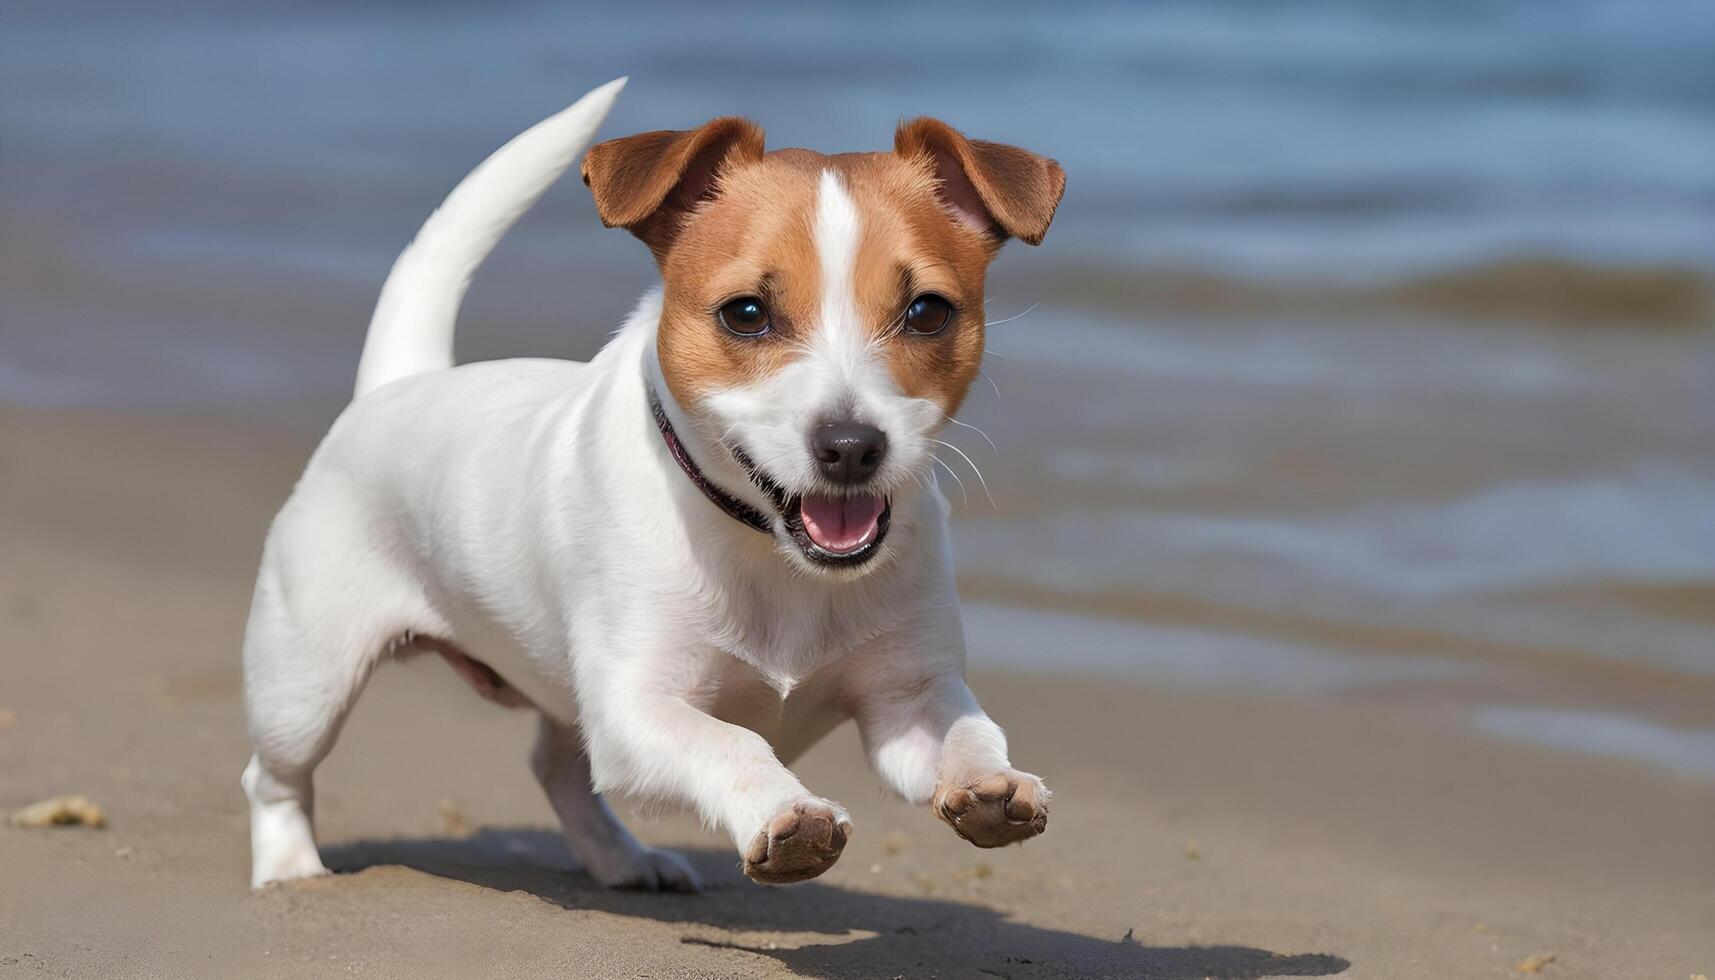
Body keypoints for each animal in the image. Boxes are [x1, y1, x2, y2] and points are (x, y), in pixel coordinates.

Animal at [241, 76, 1063, 892]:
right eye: (747, 313)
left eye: (927, 312)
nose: (852, 446)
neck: (771, 557)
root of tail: (401, 383)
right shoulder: (637, 711)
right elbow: (732, 744)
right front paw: (786, 812)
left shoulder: (907, 700)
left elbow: (965, 729)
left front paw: (989, 781)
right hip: (306, 683)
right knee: (275, 776)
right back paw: (289, 868)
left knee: (560, 771)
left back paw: (623, 859)